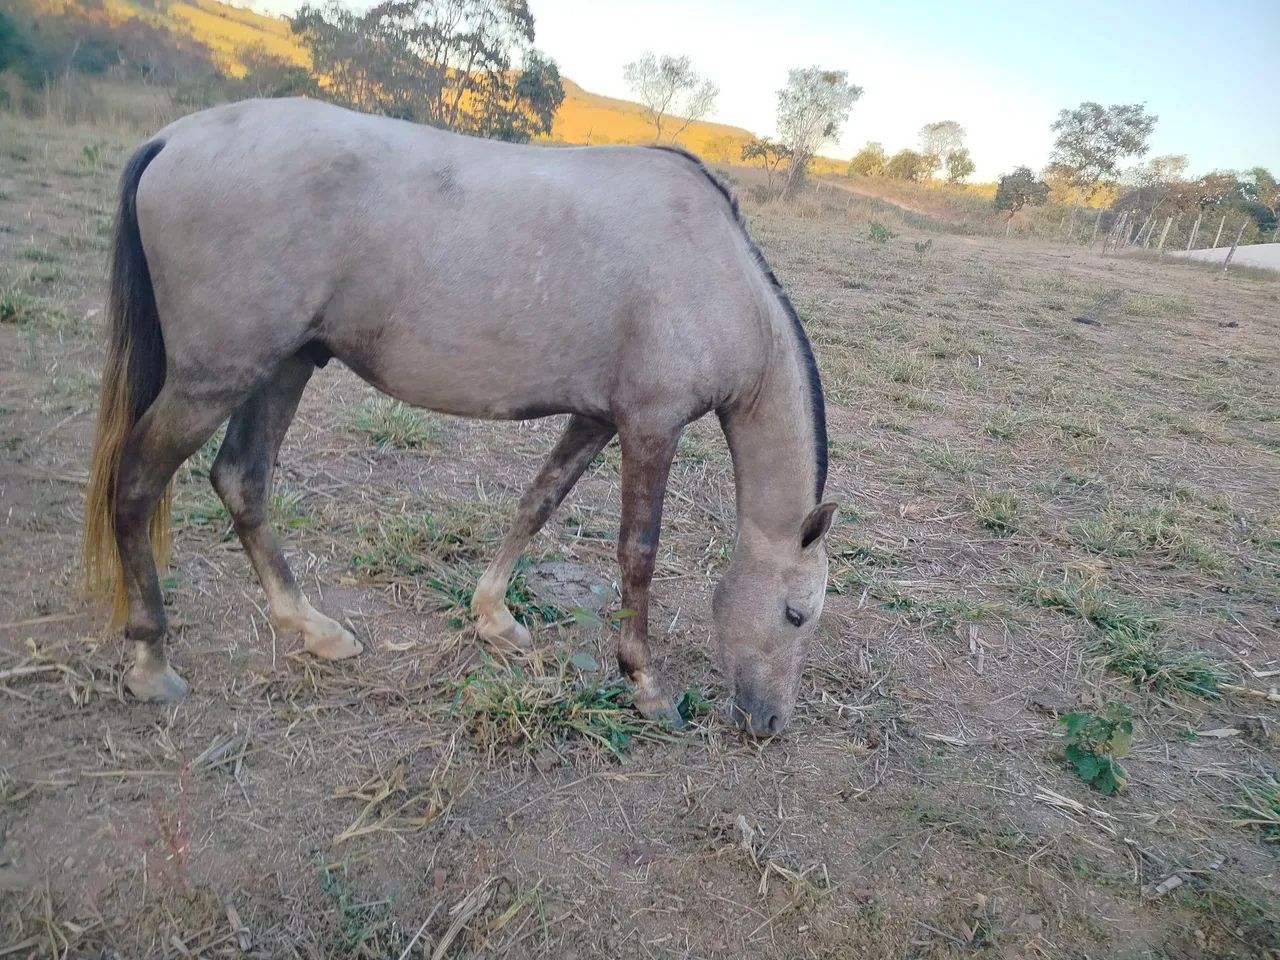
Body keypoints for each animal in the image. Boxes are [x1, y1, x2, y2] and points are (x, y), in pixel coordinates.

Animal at [81, 97, 837, 737]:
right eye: (795, 613)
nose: (770, 722)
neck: (713, 275)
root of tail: (173, 138)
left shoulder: (595, 419)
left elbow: (537, 503)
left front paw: (493, 617)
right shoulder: (651, 424)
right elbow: (638, 554)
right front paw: (646, 684)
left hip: (284, 366)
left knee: (241, 481)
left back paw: (312, 628)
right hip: (213, 381)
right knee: (137, 484)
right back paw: (151, 662)